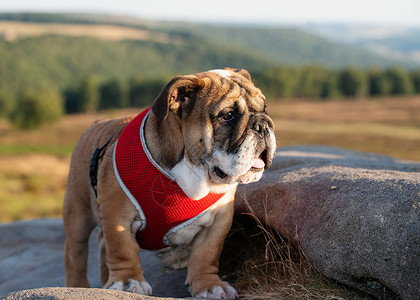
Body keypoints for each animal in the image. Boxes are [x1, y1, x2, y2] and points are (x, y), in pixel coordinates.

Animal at [63, 67, 276, 298]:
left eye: (265, 108)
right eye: (228, 116)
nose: (263, 124)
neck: (194, 174)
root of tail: (96, 124)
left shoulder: (218, 222)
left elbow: (206, 255)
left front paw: (209, 285)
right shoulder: (117, 217)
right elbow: (122, 249)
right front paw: (127, 281)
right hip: (78, 214)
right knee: (76, 253)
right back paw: (77, 286)